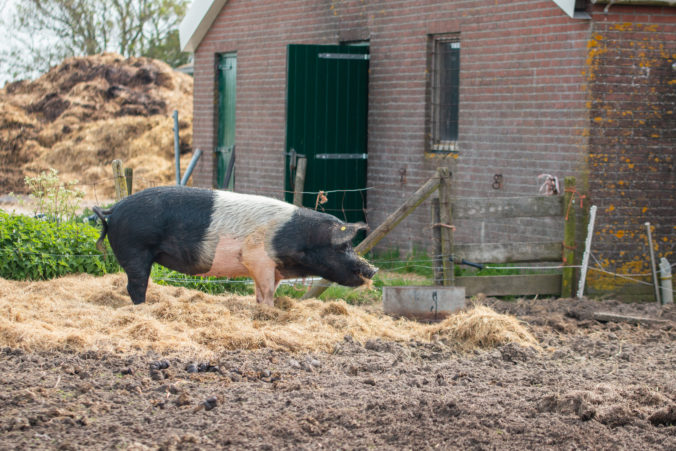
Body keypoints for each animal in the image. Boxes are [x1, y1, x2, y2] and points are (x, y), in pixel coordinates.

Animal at [93, 185, 378, 306]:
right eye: (343, 247)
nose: (373, 270)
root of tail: (113, 210)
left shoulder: (270, 268)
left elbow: (263, 291)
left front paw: (261, 308)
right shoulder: (257, 258)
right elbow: (267, 291)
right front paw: (268, 311)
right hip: (135, 250)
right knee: (136, 286)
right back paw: (143, 308)